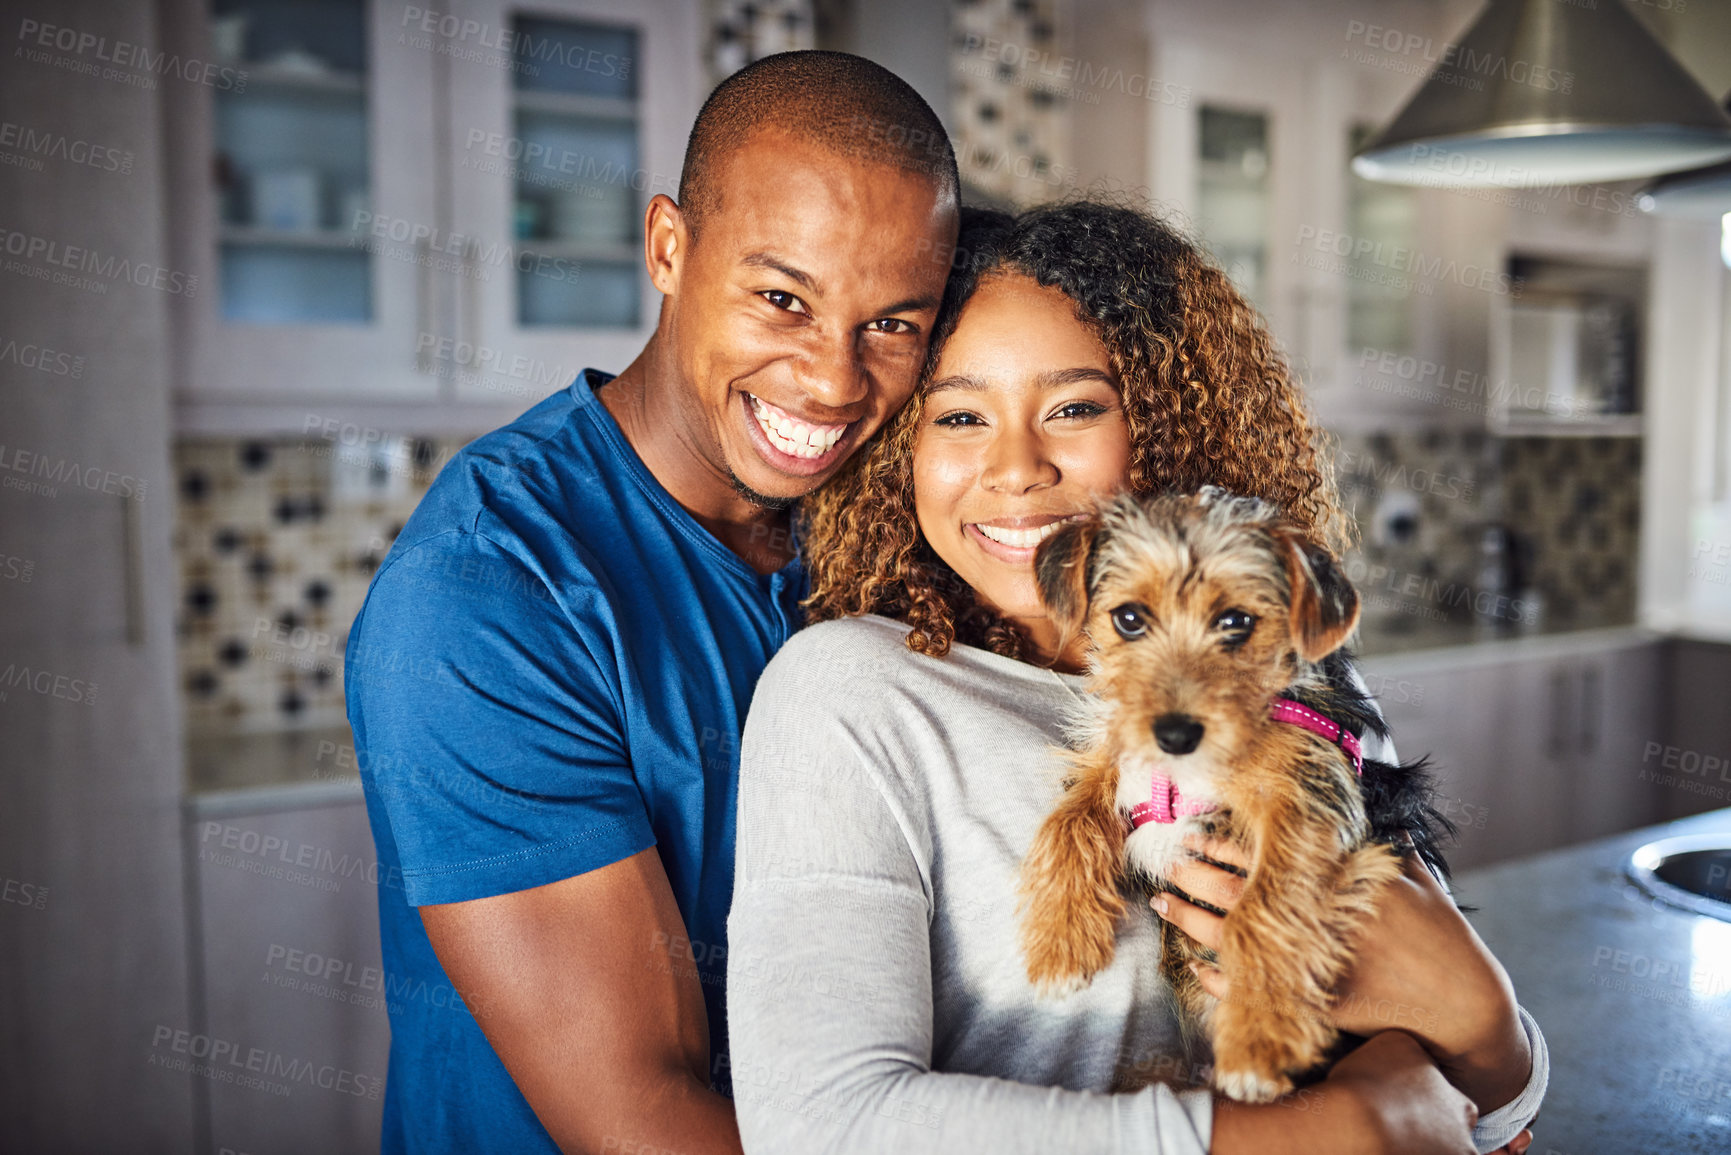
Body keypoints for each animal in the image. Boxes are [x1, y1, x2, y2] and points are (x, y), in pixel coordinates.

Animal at [1010, 484, 1447, 1101]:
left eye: (1237, 621)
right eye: (1129, 618)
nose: (1174, 735)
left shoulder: (1308, 802)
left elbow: (1266, 908)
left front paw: (1259, 1044)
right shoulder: (1116, 764)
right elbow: (1068, 821)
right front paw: (1060, 942)